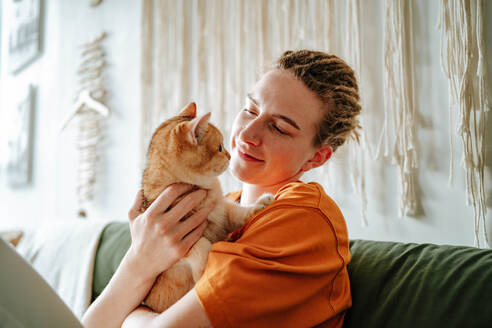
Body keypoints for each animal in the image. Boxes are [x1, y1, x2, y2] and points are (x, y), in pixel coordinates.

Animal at [141, 103, 272, 312]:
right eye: (219, 147)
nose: (229, 155)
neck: (203, 189)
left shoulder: (223, 212)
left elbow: (238, 212)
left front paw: (261, 203)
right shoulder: (180, 239)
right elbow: (202, 244)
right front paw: (203, 272)